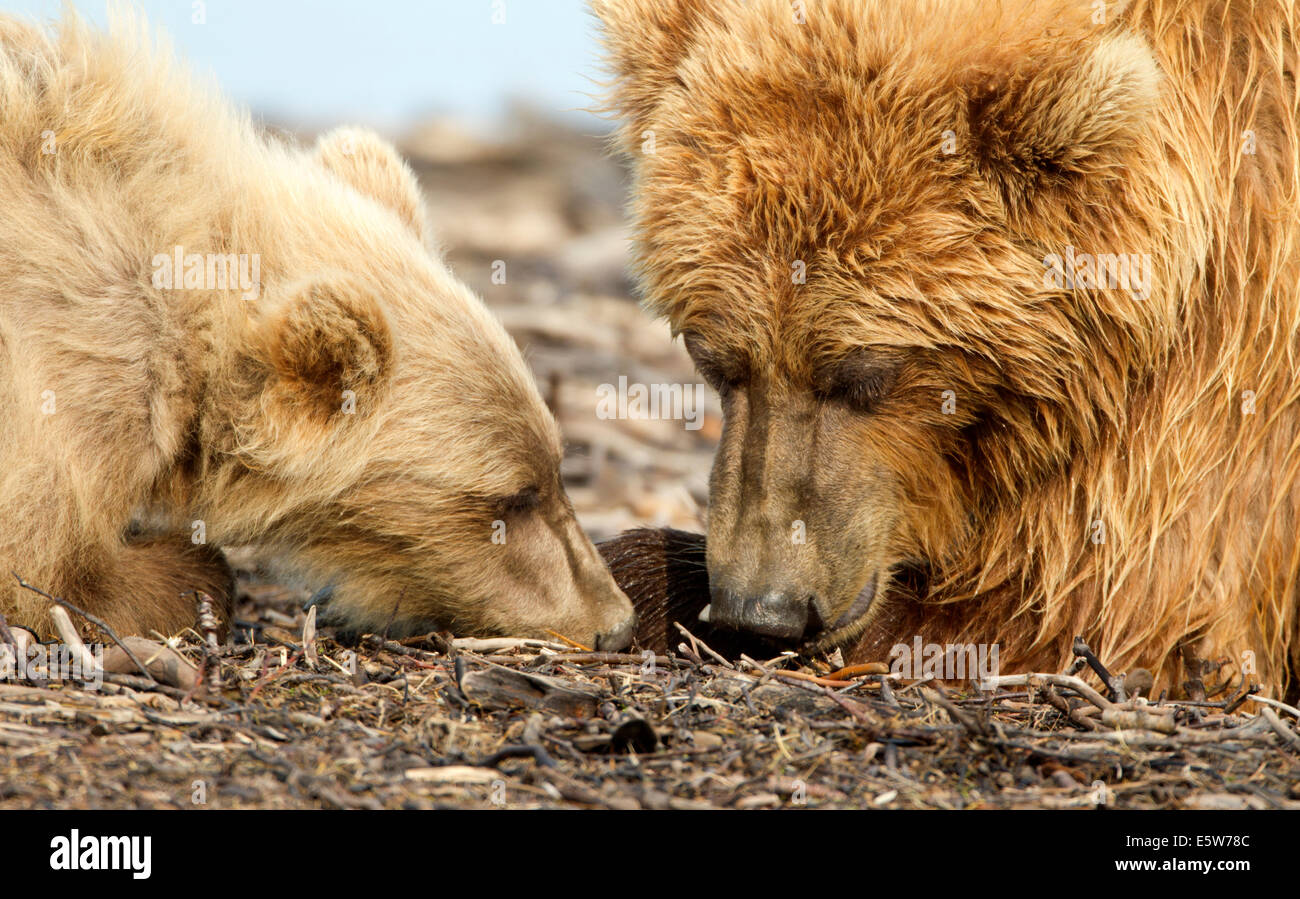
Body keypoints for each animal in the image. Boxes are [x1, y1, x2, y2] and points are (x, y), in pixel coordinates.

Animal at [0, 11, 636, 651]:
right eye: (513, 497)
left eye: (556, 468)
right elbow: (42, 564)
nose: (616, 621)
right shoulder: (72, 361)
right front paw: (186, 578)